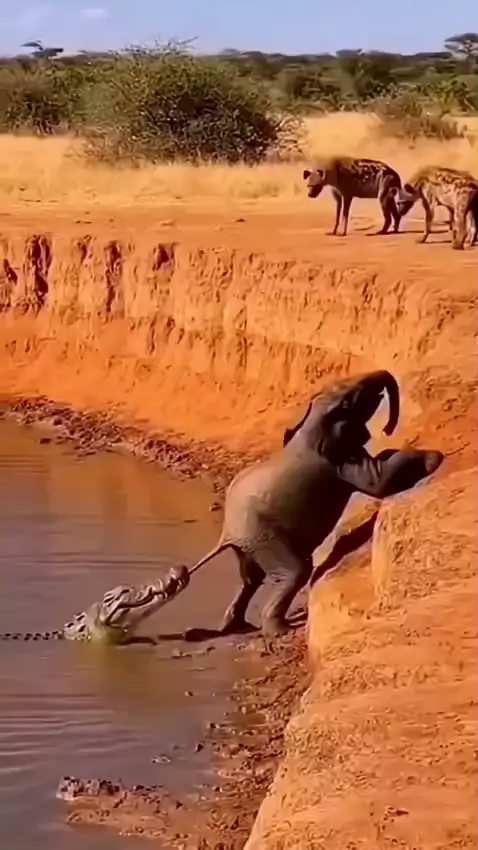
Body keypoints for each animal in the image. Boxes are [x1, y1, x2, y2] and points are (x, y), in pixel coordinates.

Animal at [186, 370, 444, 640]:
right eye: (350, 399)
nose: (388, 427)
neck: (312, 419)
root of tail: (227, 532)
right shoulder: (338, 458)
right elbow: (378, 481)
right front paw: (433, 458)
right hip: (262, 534)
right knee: (295, 572)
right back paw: (279, 631)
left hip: (250, 542)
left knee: (252, 579)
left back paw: (238, 627)